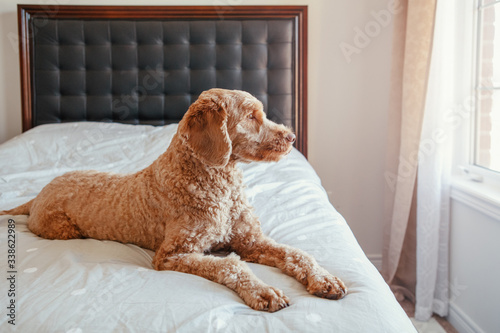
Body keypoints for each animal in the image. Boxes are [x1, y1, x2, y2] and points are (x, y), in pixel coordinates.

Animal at [2, 88, 348, 312]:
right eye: (252, 116)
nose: (291, 137)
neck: (215, 181)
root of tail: (36, 197)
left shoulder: (251, 241)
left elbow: (298, 254)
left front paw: (324, 278)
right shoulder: (173, 254)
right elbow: (231, 266)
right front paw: (262, 290)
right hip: (61, 228)